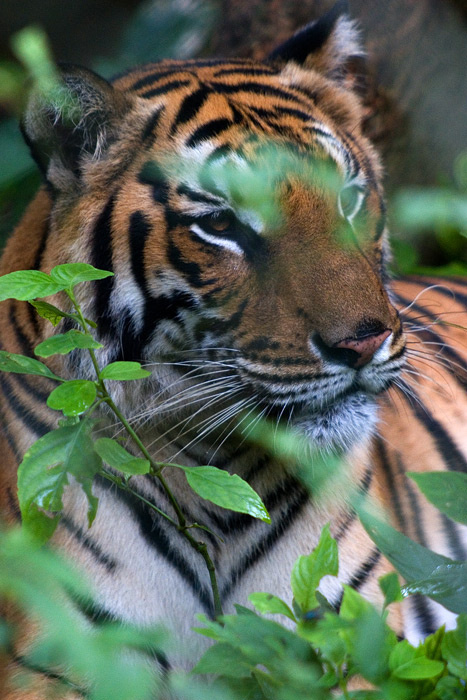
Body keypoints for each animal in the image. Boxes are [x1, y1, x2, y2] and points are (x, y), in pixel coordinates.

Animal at [1, 1, 466, 697]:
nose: (364, 342)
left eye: (349, 200)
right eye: (221, 224)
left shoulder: (349, 647)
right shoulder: (61, 659)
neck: (214, 485)